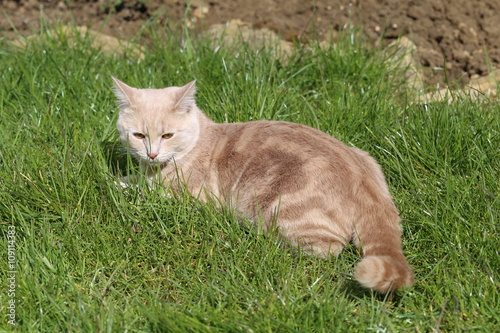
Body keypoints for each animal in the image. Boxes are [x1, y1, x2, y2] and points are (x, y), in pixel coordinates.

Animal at [112, 77, 414, 290]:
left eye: (167, 135)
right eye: (138, 135)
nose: (152, 153)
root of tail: (368, 184)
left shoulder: (190, 199)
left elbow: (140, 191)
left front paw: (119, 187)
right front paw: (122, 179)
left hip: (284, 211)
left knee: (326, 250)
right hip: (367, 157)